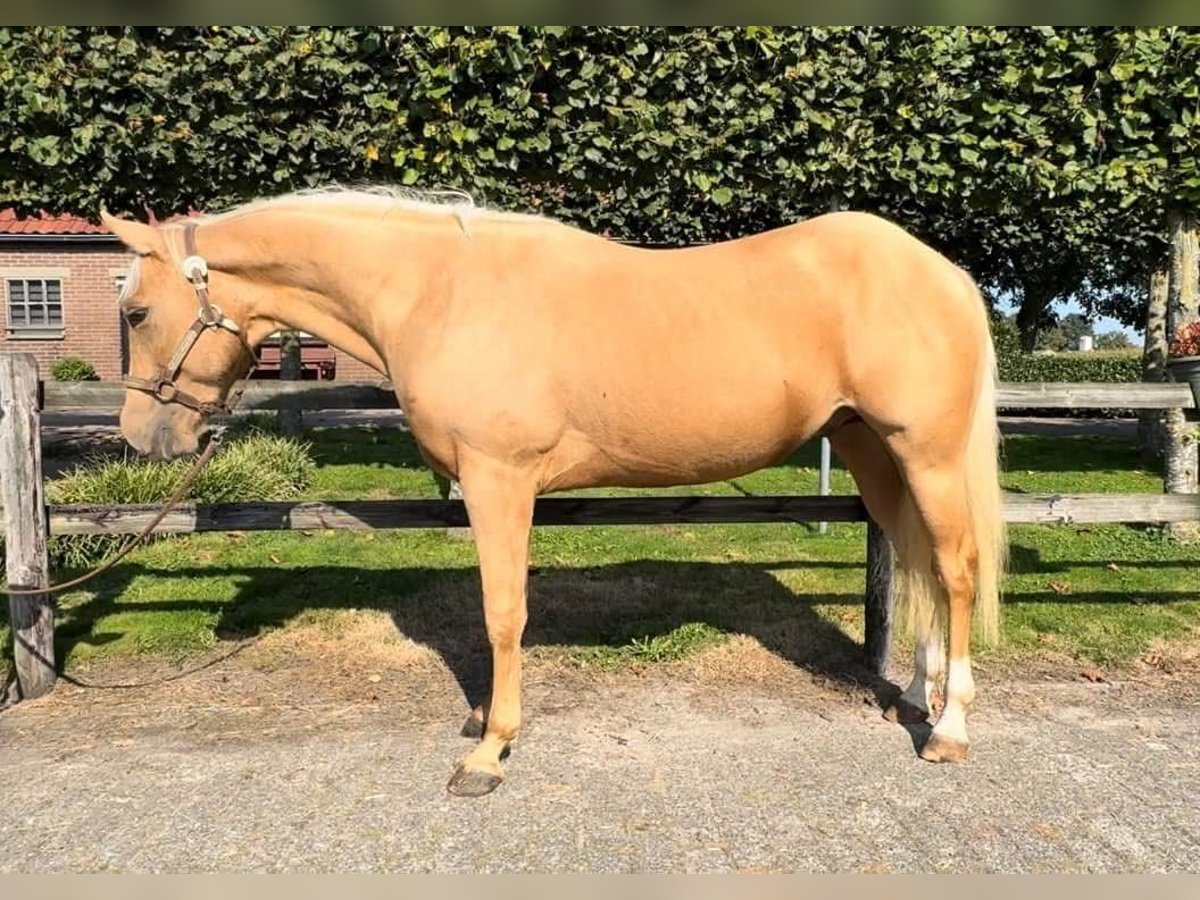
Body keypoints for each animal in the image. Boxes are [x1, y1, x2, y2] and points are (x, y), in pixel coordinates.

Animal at [103, 190, 1003, 796]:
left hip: (924, 452)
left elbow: (503, 613)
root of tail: (944, 272)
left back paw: (951, 728)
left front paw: (488, 750)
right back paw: (914, 700)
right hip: (869, 450)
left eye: (138, 310)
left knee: (955, 569)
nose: (143, 437)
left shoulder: (497, 480)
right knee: (919, 562)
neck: (439, 293)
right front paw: (481, 722)